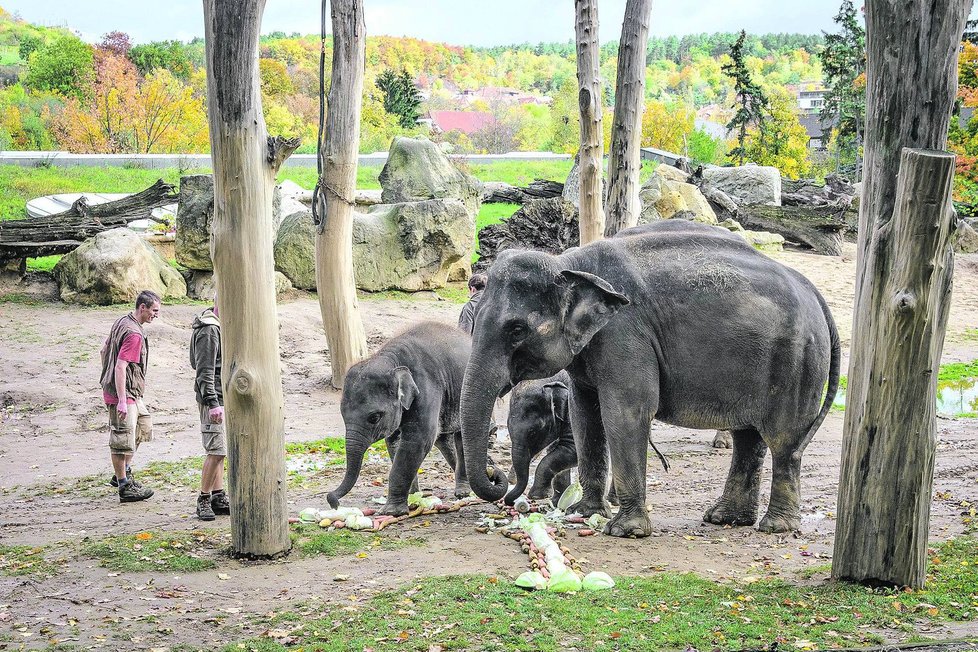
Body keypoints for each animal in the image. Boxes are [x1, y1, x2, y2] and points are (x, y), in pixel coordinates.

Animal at [326, 320, 474, 516]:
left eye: (374, 417)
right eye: (342, 414)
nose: (333, 502)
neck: (391, 360)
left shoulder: (427, 388)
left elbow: (418, 440)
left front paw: (392, 512)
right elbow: (394, 442)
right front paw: (413, 498)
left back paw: (465, 491)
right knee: (444, 438)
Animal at [500, 372, 576, 504]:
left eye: (533, 433)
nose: (512, 502)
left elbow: (571, 449)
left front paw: (537, 496)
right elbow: (556, 449)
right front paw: (556, 502)